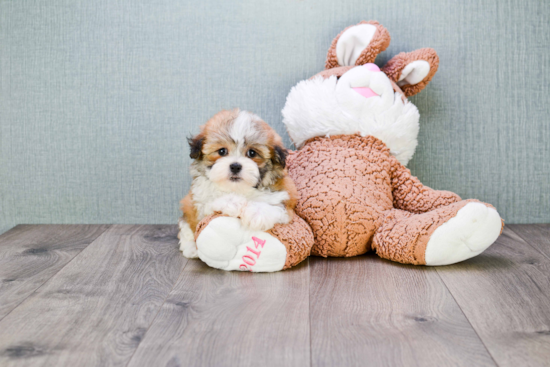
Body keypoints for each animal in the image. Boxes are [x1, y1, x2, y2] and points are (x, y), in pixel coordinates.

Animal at [179, 108, 298, 258]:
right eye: (222, 151)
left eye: (252, 153)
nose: (235, 166)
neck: (239, 189)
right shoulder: (199, 201)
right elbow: (211, 203)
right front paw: (234, 202)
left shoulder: (284, 196)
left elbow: (275, 206)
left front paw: (256, 213)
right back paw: (191, 248)